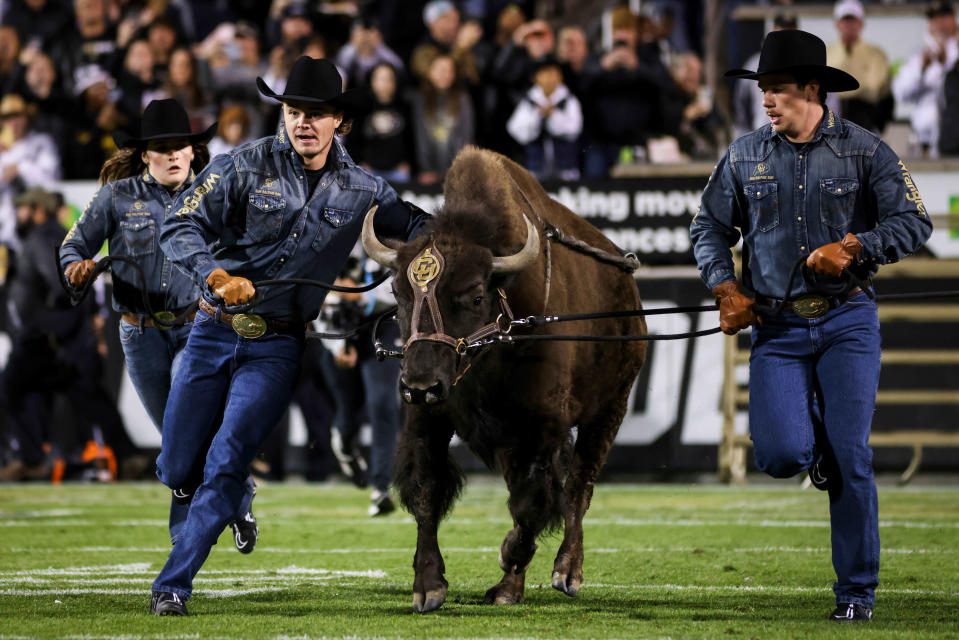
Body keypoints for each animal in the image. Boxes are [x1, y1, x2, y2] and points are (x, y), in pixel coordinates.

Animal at [364, 148, 648, 612]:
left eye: (475, 296)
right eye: (398, 294)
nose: (420, 385)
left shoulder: (543, 425)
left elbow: (534, 501)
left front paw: (508, 556)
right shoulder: (429, 420)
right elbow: (427, 492)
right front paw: (428, 587)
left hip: (609, 410)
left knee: (579, 487)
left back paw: (565, 573)